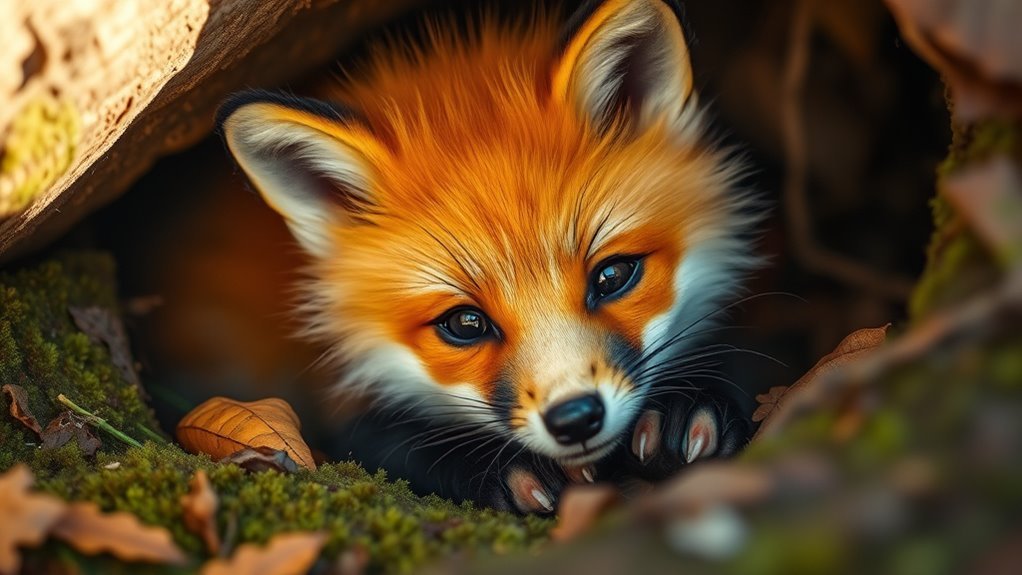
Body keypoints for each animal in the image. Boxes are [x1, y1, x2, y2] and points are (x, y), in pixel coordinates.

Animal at [217, 0, 759, 513]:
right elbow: (393, 443)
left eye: (613, 276)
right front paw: (498, 468)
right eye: (465, 323)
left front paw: (685, 406)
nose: (575, 417)